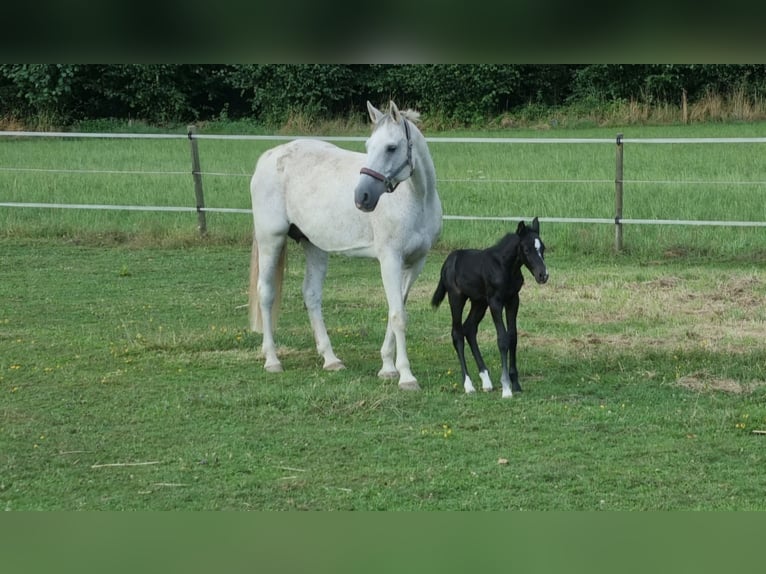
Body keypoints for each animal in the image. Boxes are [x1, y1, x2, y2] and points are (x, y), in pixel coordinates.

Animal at [249, 102, 444, 392]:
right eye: (368, 145)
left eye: (391, 148)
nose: (362, 196)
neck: (416, 199)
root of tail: (269, 157)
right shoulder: (389, 259)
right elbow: (398, 315)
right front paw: (406, 376)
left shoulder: (416, 262)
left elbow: (397, 308)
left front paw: (387, 368)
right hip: (270, 239)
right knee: (266, 293)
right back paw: (272, 360)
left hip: (314, 246)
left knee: (311, 295)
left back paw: (331, 360)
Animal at [436, 218, 548, 398]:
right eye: (526, 249)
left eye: (542, 248)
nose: (543, 275)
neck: (505, 267)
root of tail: (447, 262)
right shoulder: (496, 302)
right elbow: (502, 339)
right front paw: (506, 388)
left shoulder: (513, 300)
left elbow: (513, 337)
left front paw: (516, 384)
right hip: (456, 298)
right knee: (457, 333)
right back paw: (468, 385)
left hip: (479, 302)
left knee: (469, 328)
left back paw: (486, 381)